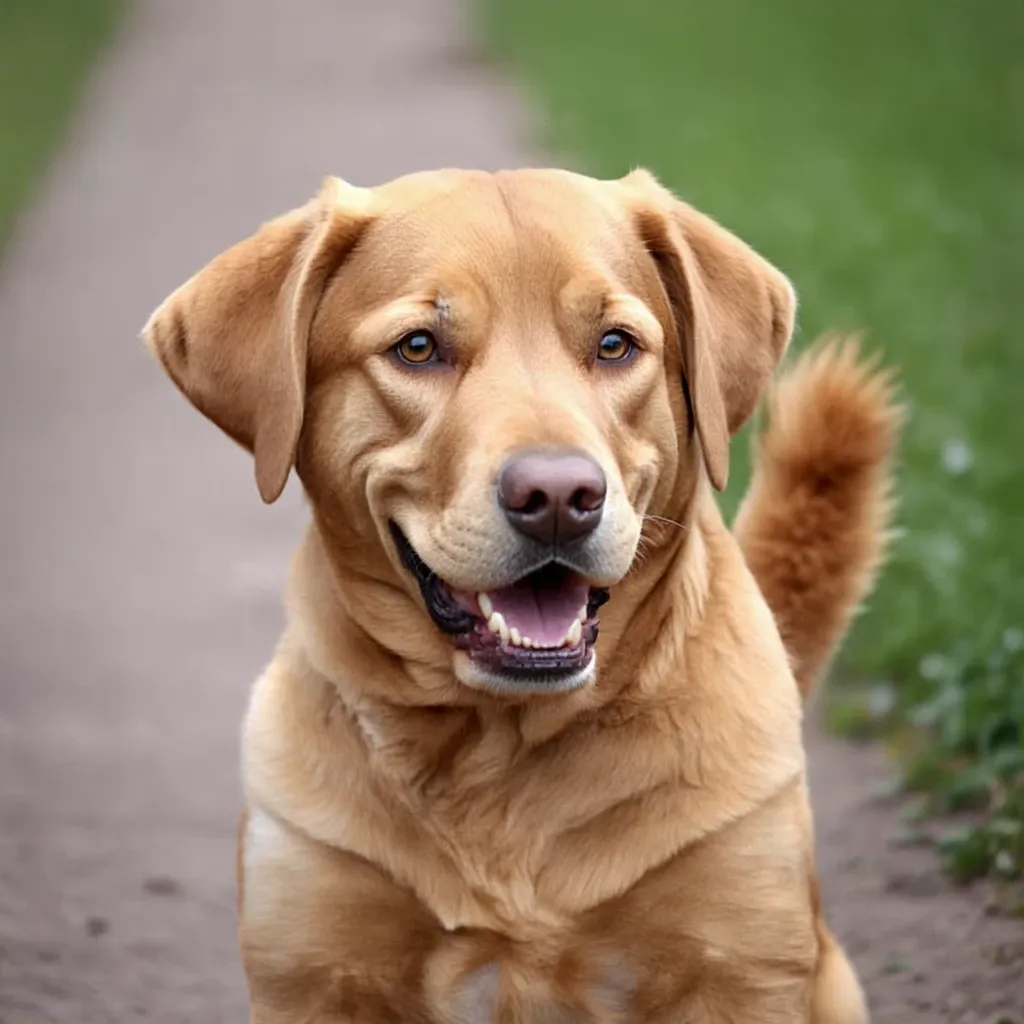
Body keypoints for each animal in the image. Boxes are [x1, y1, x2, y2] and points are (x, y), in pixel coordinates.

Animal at [142, 169, 897, 1024]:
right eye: (418, 347)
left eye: (614, 344)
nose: (560, 497)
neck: (499, 747)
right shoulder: (317, 976)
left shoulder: (736, 970)